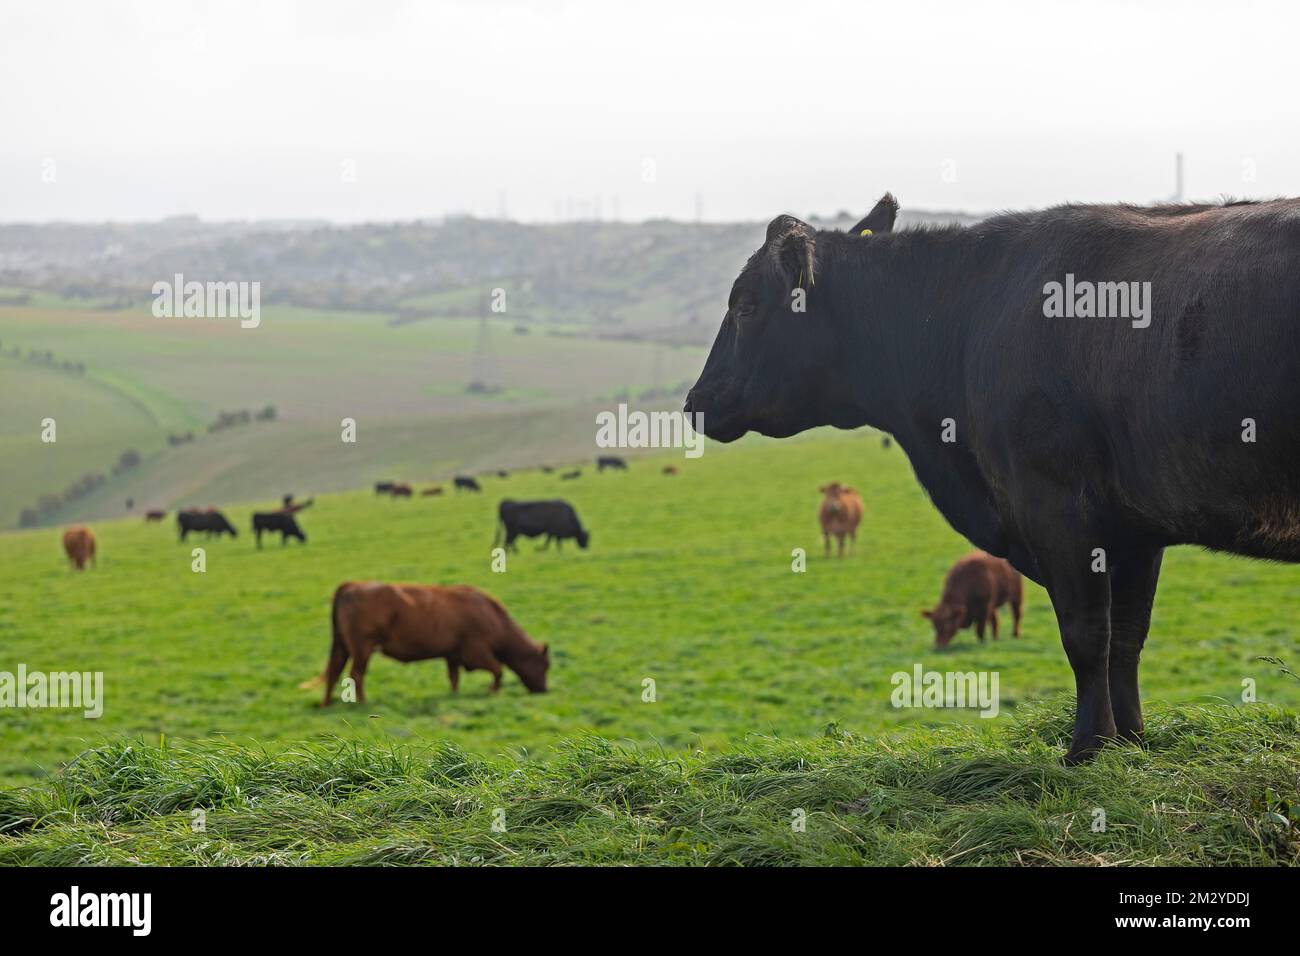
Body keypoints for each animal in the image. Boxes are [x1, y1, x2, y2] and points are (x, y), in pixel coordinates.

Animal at [301, 580, 551, 707]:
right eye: (545, 665)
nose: (544, 690)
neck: (493, 618)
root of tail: (353, 585)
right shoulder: (475, 652)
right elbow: (498, 670)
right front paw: (492, 691)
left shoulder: (452, 655)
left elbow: (454, 678)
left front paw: (454, 696)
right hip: (362, 648)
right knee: (356, 674)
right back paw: (362, 703)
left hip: (342, 647)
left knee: (334, 672)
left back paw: (326, 704)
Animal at [686, 192, 1300, 764]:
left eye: (745, 305)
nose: (694, 401)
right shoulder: (1134, 530)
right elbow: (1125, 638)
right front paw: (1130, 740)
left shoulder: (1055, 505)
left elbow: (1086, 635)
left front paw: (1087, 746)